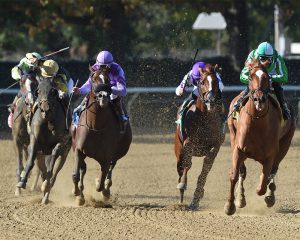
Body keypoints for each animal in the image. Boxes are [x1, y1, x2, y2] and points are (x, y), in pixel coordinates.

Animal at [71, 66, 132, 205]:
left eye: (108, 79)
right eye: (93, 79)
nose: (103, 97)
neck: (95, 126)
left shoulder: (107, 156)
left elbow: (101, 183)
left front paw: (103, 188)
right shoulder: (78, 149)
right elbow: (76, 175)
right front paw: (77, 194)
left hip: (118, 152)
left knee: (110, 169)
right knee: (83, 168)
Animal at [173, 63, 225, 208]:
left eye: (216, 81)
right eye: (202, 82)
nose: (211, 100)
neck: (204, 117)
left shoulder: (215, 146)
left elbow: (206, 169)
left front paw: (197, 196)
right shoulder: (188, 144)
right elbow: (187, 164)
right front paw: (183, 184)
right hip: (178, 150)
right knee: (180, 168)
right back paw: (180, 198)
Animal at [225, 60, 296, 216]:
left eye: (267, 77)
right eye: (250, 77)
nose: (259, 99)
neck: (257, 122)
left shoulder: (271, 154)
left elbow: (262, 185)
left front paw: (267, 195)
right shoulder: (239, 149)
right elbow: (234, 175)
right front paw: (231, 205)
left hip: (286, 143)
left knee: (273, 171)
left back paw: (270, 196)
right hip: (232, 136)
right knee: (242, 172)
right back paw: (240, 198)